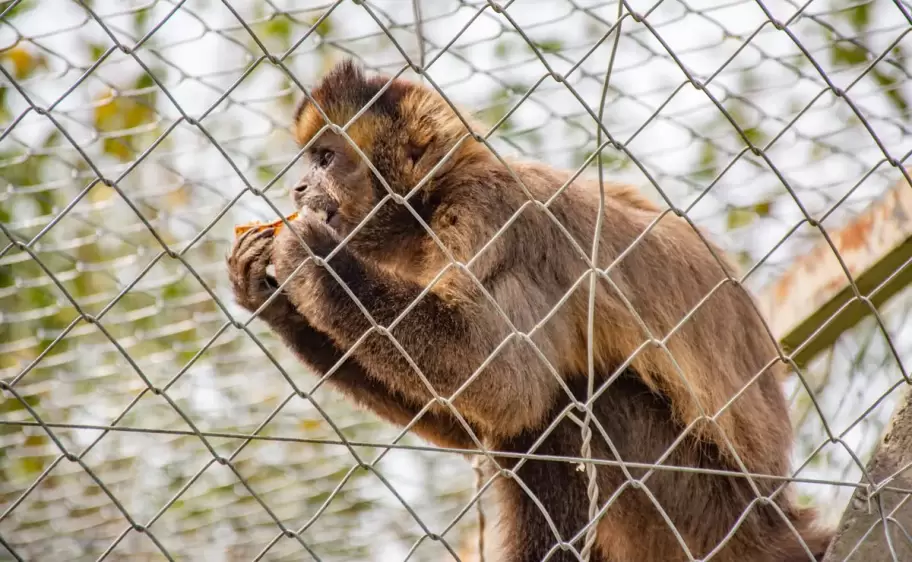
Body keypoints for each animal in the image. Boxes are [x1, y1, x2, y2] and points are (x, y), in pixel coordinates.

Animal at [227, 59, 833, 562]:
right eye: (310, 161)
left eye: (326, 158)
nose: (298, 187)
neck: (430, 206)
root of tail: (777, 519)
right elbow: (477, 419)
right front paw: (273, 300)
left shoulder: (491, 213)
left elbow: (509, 384)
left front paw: (315, 263)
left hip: (707, 508)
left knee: (574, 403)